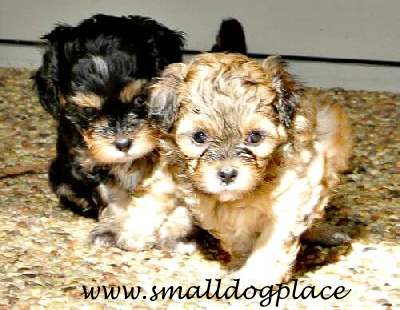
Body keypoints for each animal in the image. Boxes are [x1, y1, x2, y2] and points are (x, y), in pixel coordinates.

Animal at [148, 52, 352, 284]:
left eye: (255, 137)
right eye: (199, 136)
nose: (227, 174)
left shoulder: (294, 194)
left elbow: (272, 243)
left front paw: (256, 275)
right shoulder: (213, 212)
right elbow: (239, 238)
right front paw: (241, 264)